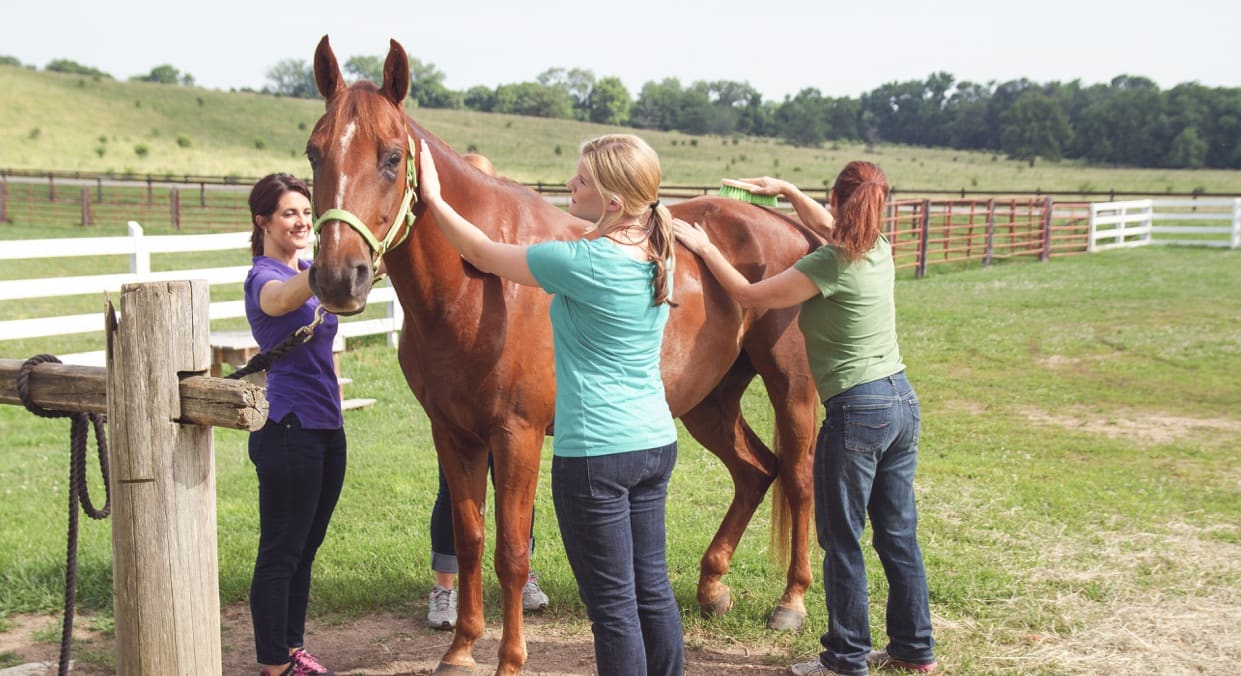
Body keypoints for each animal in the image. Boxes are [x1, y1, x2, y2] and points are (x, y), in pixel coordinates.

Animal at [306, 38, 824, 674]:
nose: (338, 277)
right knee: (755, 470)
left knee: (797, 477)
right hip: (709, 401)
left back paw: (791, 601)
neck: (482, 286)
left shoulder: (517, 433)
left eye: (391, 156)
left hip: (790, 386)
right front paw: (461, 648)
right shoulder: (453, 433)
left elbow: (511, 551)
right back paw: (712, 587)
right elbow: (469, 540)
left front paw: (509, 659)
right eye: (314, 153)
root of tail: (787, 226)